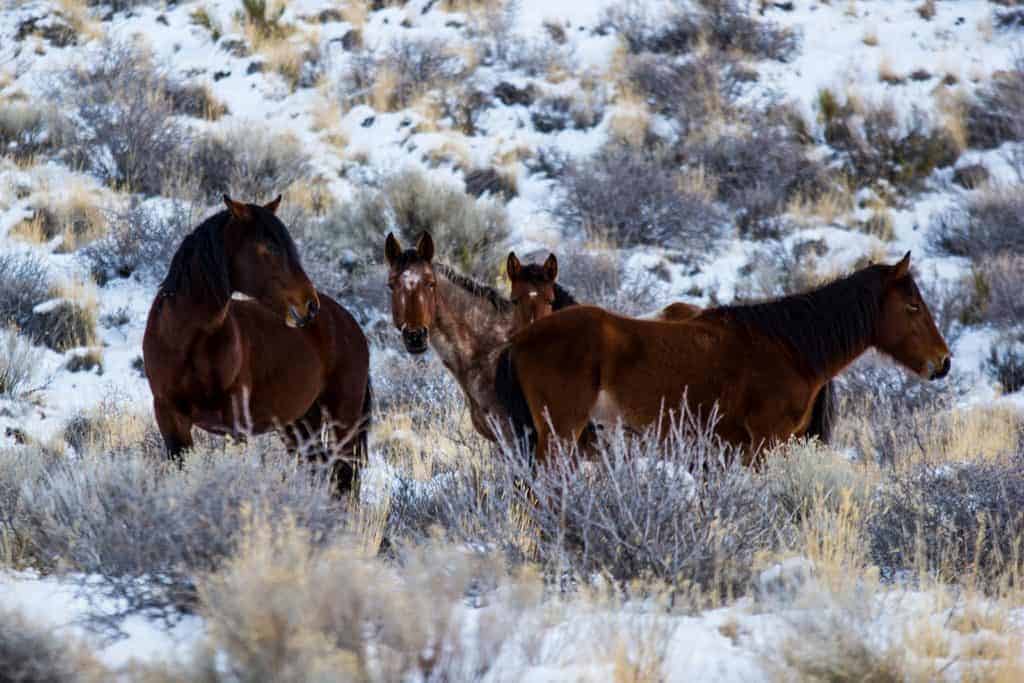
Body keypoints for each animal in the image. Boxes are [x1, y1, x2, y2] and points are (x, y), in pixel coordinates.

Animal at [143, 195, 372, 496]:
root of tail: (350, 322)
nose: (309, 305)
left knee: (344, 476)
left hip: (342, 418)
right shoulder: (170, 418)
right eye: (271, 247)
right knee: (321, 467)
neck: (185, 341)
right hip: (299, 423)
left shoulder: (236, 425)